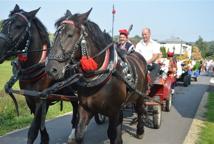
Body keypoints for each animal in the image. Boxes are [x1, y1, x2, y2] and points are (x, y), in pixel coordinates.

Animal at [0, 4, 79, 143]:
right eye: (4, 23)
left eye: (18, 26)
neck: (37, 69)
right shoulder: (30, 100)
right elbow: (40, 128)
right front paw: (45, 138)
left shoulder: (42, 101)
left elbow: (33, 131)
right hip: (69, 93)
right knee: (75, 107)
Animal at [46, 9, 148, 144]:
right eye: (56, 35)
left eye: (70, 35)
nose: (51, 69)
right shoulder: (85, 108)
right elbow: (79, 134)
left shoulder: (114, 111)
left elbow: (113, 135)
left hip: (140, 95)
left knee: (140, 111)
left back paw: (140, 130)